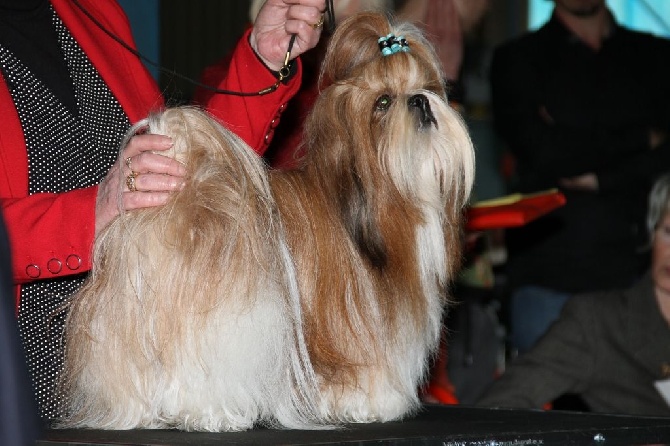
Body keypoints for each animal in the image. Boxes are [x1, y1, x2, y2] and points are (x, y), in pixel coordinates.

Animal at [60, 12, 476, 432]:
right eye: (383, 102)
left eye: (428, 88)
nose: (421, 101)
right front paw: (371, 403)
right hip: (228, 316)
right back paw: (212, 413)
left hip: (126, 319)